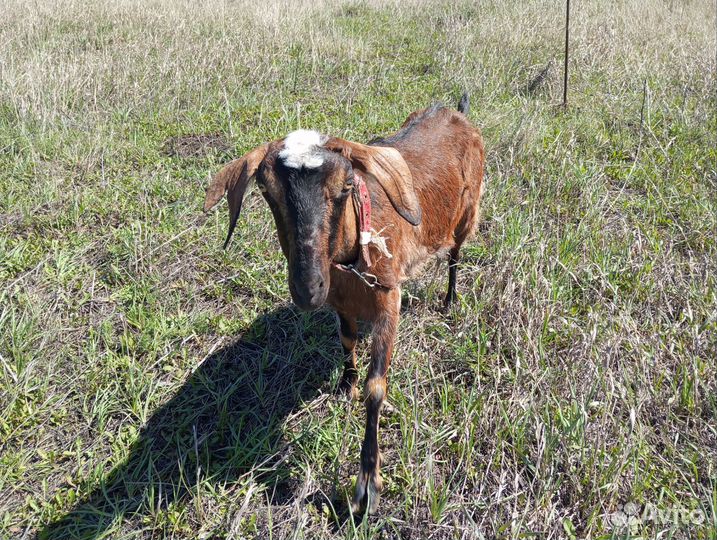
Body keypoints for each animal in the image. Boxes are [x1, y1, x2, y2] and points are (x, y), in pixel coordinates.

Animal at [204, 96, 484, 516]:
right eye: (267, 192)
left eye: (347, 185)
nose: (308, 289)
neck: (353, 257)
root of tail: (457, 113)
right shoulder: (340, 302)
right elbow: (348, 341)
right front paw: (344, 385)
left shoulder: (388, 301)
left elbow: (376, 388)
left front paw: (366, 488)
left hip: (466, 214)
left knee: (454, 255)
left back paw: (450, 300)